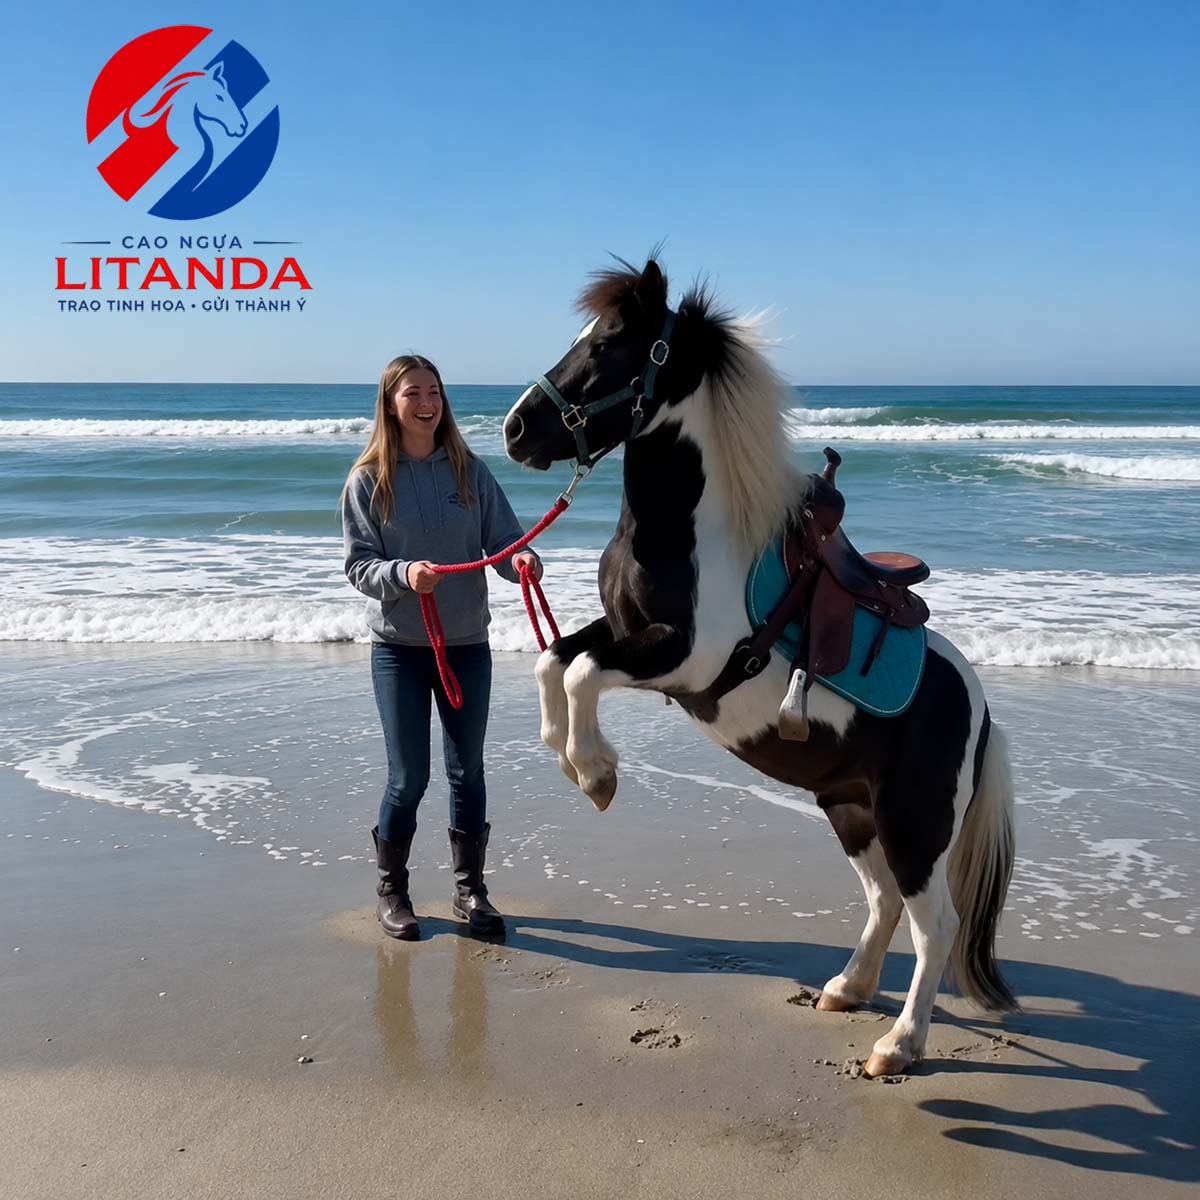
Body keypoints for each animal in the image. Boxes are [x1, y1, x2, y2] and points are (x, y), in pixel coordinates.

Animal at [503, 257, 1017, 1077]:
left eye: (610, 343)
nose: (516, 429)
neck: (692, 535)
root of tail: (979, 708)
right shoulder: (626, 632)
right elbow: (555, 661)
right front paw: (575, 760)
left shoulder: (682, 658)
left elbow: (581, 674)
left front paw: (597, 773)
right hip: (849, 809)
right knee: (883, 902)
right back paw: (846, 989)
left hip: (915, 825)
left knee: (934, 921)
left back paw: (899, 1046)